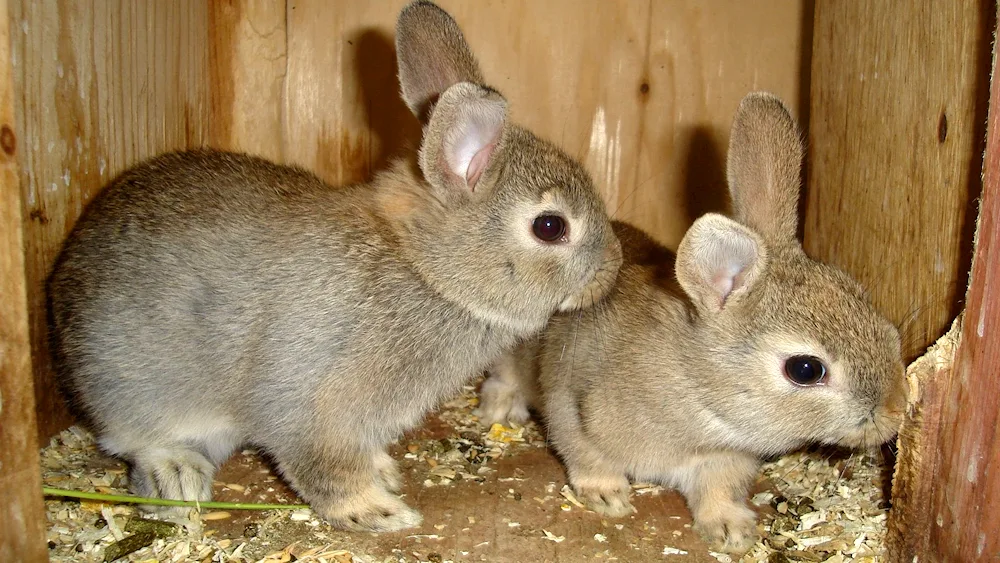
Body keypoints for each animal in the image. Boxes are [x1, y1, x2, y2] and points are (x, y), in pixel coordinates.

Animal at [52, 1, 624, 532]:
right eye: (550, 227)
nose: (613, 268)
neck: (425, 270)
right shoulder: (309, 401)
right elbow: (322, 465)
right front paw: (378, 511)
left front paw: (384, 474)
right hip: (128, 383)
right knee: (135, 438)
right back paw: (177, 476)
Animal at [476, 92, 908, 556]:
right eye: (806, 369)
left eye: (863, 300)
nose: (896, 412)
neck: (697, 389)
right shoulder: (571, 404)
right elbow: (584, 454)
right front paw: (608, 496)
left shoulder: (725, 458)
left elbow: (718, 491)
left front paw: (732, 532)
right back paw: (501, 408)